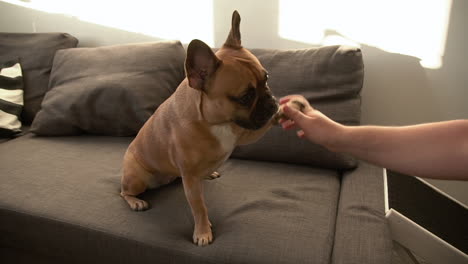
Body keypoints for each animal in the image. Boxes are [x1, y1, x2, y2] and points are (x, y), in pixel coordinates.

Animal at [119, 10, 298, 245]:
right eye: (245, 97)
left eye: (266, 79)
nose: (271, 102)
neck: (216, 122)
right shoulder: (191, 179)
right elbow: (199, 208)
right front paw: (203, 232)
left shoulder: (244, 132)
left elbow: (261, 127)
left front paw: (284, 112)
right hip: (137, 179)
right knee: (124, 192)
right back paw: (136, 202)